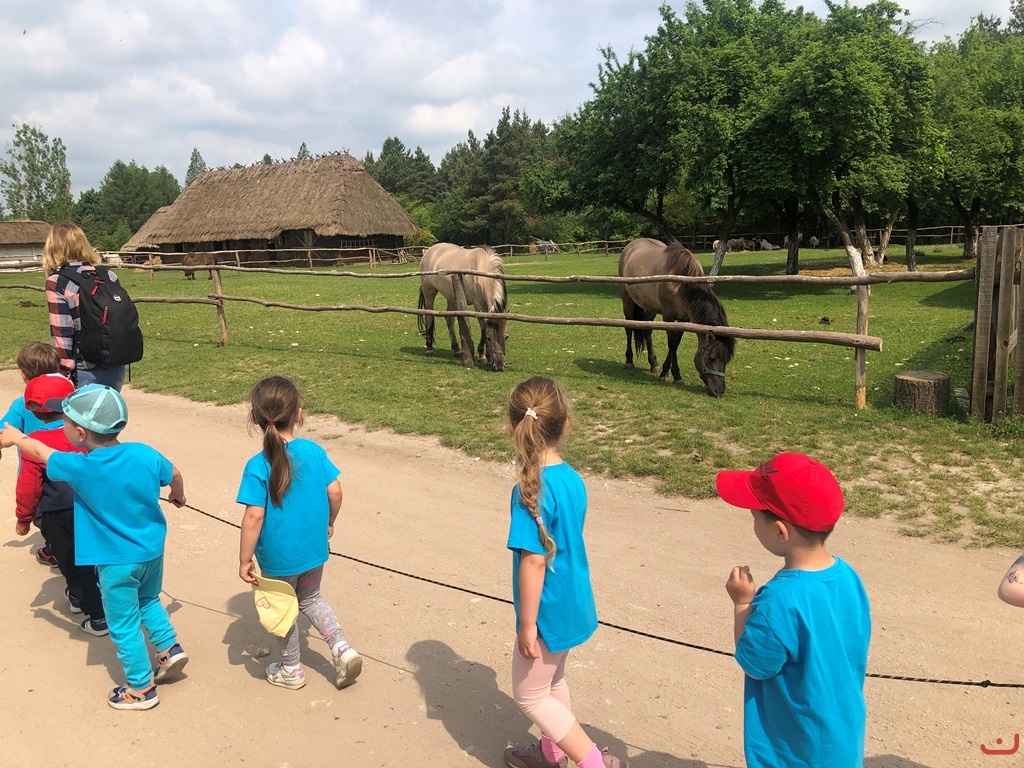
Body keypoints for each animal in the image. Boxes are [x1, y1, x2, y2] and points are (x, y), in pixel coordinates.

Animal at [417, 243, 507, 371]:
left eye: (506, 337)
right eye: (489, 338)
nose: (499, 367)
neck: (482, 267)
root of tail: (429, 250)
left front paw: (483, 355)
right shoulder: (478, 305)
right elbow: (483, 328)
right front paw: (484, 356)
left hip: (451, 296)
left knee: (449, 319)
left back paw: (457, 349)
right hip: (429, 292)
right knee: (429, 316)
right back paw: (429, 348)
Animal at [619, 237, 736, 397]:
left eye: (727, 360)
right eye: (712, 358)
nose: (719, 391)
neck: (682, 282)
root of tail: (631, 246)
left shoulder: (683, 319)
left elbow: (676, 343)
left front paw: (666, 372)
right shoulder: (668, 316)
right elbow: (672, 344)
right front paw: (673, 376)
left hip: (651, 308)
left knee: (647, 330)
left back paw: (653, 364)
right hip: (627, 301)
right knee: (629, 328)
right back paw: (629, 361)